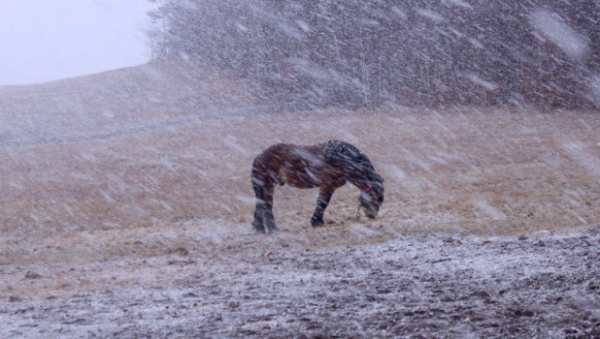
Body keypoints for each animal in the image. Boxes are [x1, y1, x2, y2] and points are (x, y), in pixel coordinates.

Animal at [250, 141, 384, 234]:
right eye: (376, 197)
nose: (372, 215)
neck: (342, 159)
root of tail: (259, 156)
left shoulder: (332, 187)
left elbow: (324, 203)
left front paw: (318, 221)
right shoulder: (327, 185)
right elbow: (322, 202)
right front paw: (316, 222)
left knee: (260, 204)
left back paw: (259, 228)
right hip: (268, 185)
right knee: (267, 205)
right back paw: (274, 229)